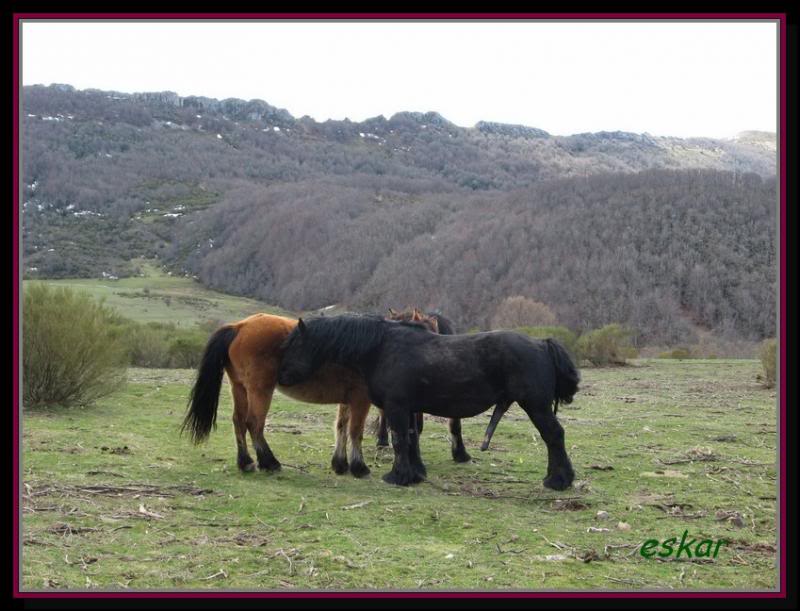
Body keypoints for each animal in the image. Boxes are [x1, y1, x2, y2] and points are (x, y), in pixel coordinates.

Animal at [278, 318, 580, 490]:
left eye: (296, 345)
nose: (282, 376)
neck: (382, 347)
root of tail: (542, 344)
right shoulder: (410, 409)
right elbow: (411, 440)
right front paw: (415, 473)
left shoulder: (397, 407)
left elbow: (399, 440)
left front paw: (398, 476)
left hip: (536, 406)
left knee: (554, 436)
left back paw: (558, 480)